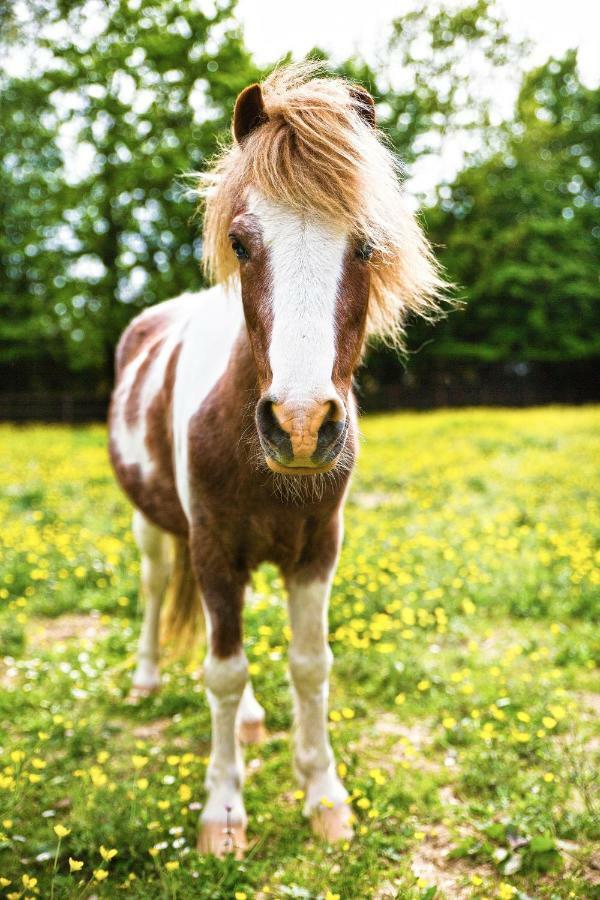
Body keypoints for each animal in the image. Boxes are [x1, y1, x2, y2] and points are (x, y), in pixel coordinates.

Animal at [109, 63, 446, 856]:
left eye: (366, 245)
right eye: (240, 242)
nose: (299, 425)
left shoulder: (317, 550)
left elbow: (309, 664)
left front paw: (323, 795)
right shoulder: (211, 548)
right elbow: (223, 672)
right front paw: (224, 812)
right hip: (157, 528)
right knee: (154, 586)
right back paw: (145, 678)